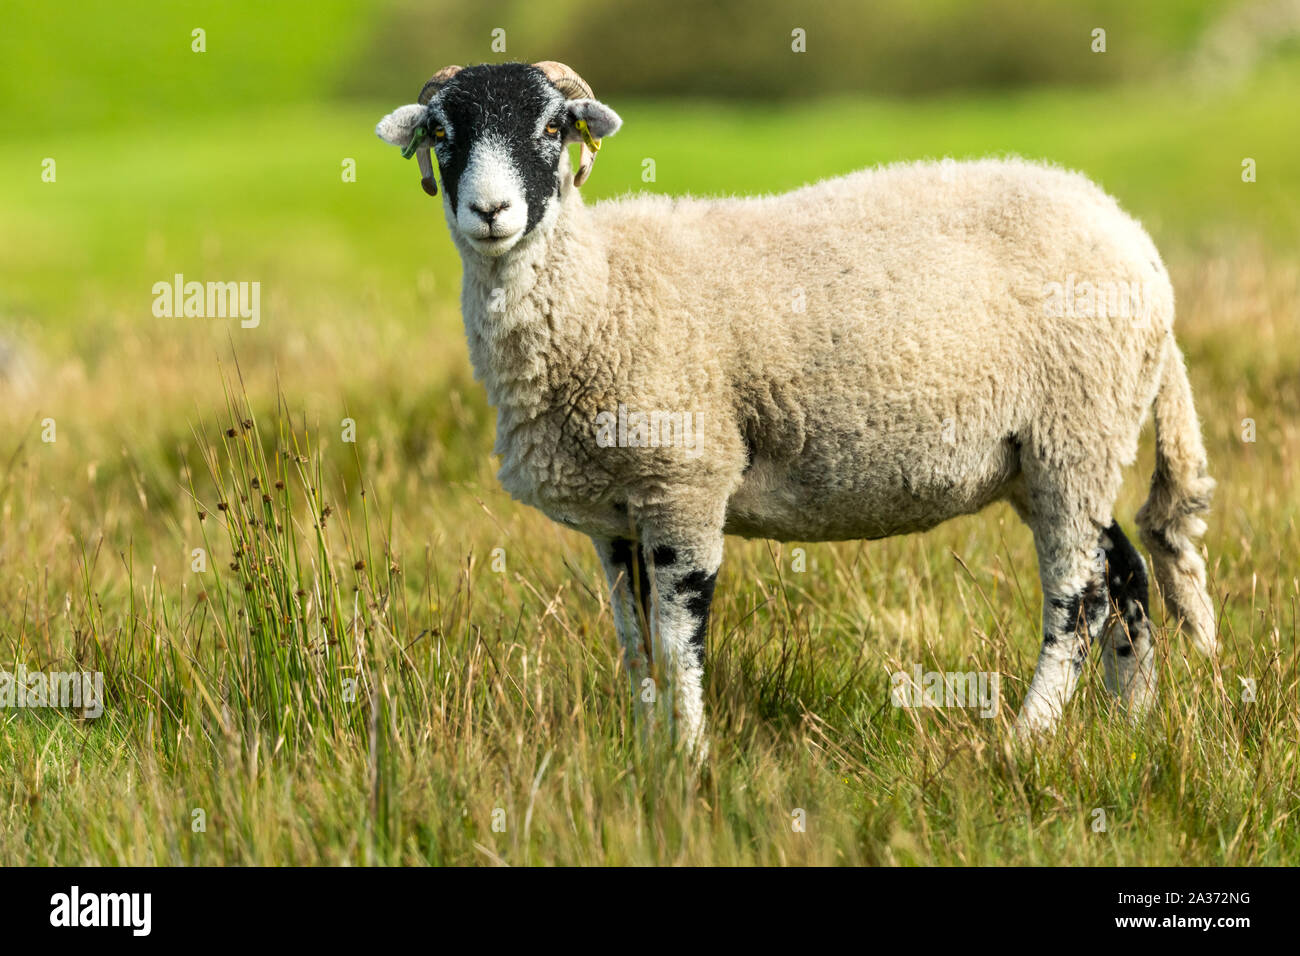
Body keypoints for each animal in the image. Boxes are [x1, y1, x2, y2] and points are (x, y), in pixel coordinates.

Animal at [376, 61, 1216, 752]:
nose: (490, 212)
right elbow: (635, 644)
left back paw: (1026, 737)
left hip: (1076, 425)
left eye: (553, 128)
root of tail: (1137, 244)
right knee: (1125, 572)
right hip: (1048, 456)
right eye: (443, 133)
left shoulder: (685, 482)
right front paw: (646, 756)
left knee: (1080, 596)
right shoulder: (615, 515)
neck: (603, 286)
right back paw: (1131, 723)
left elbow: (679, 642)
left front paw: (690, 762)